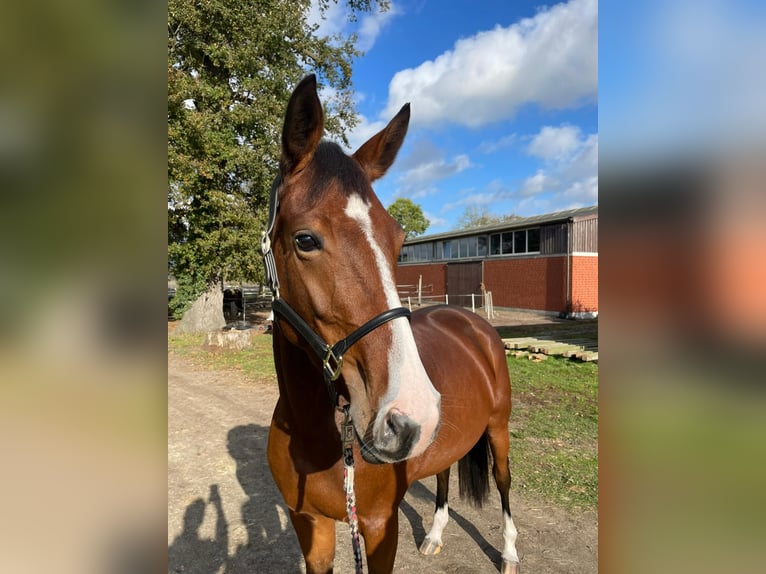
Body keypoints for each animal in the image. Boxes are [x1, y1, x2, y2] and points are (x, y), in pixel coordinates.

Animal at [264, 76, 520, 574]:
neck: (315, 433)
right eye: (305, 239)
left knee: (503, 481)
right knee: (443, 473)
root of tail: (471, 321)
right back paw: (435, 534)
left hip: (498, 429)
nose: (409, 416)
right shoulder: (308, 525)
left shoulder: (381, 527)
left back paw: (511, 552)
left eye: (399, 240)